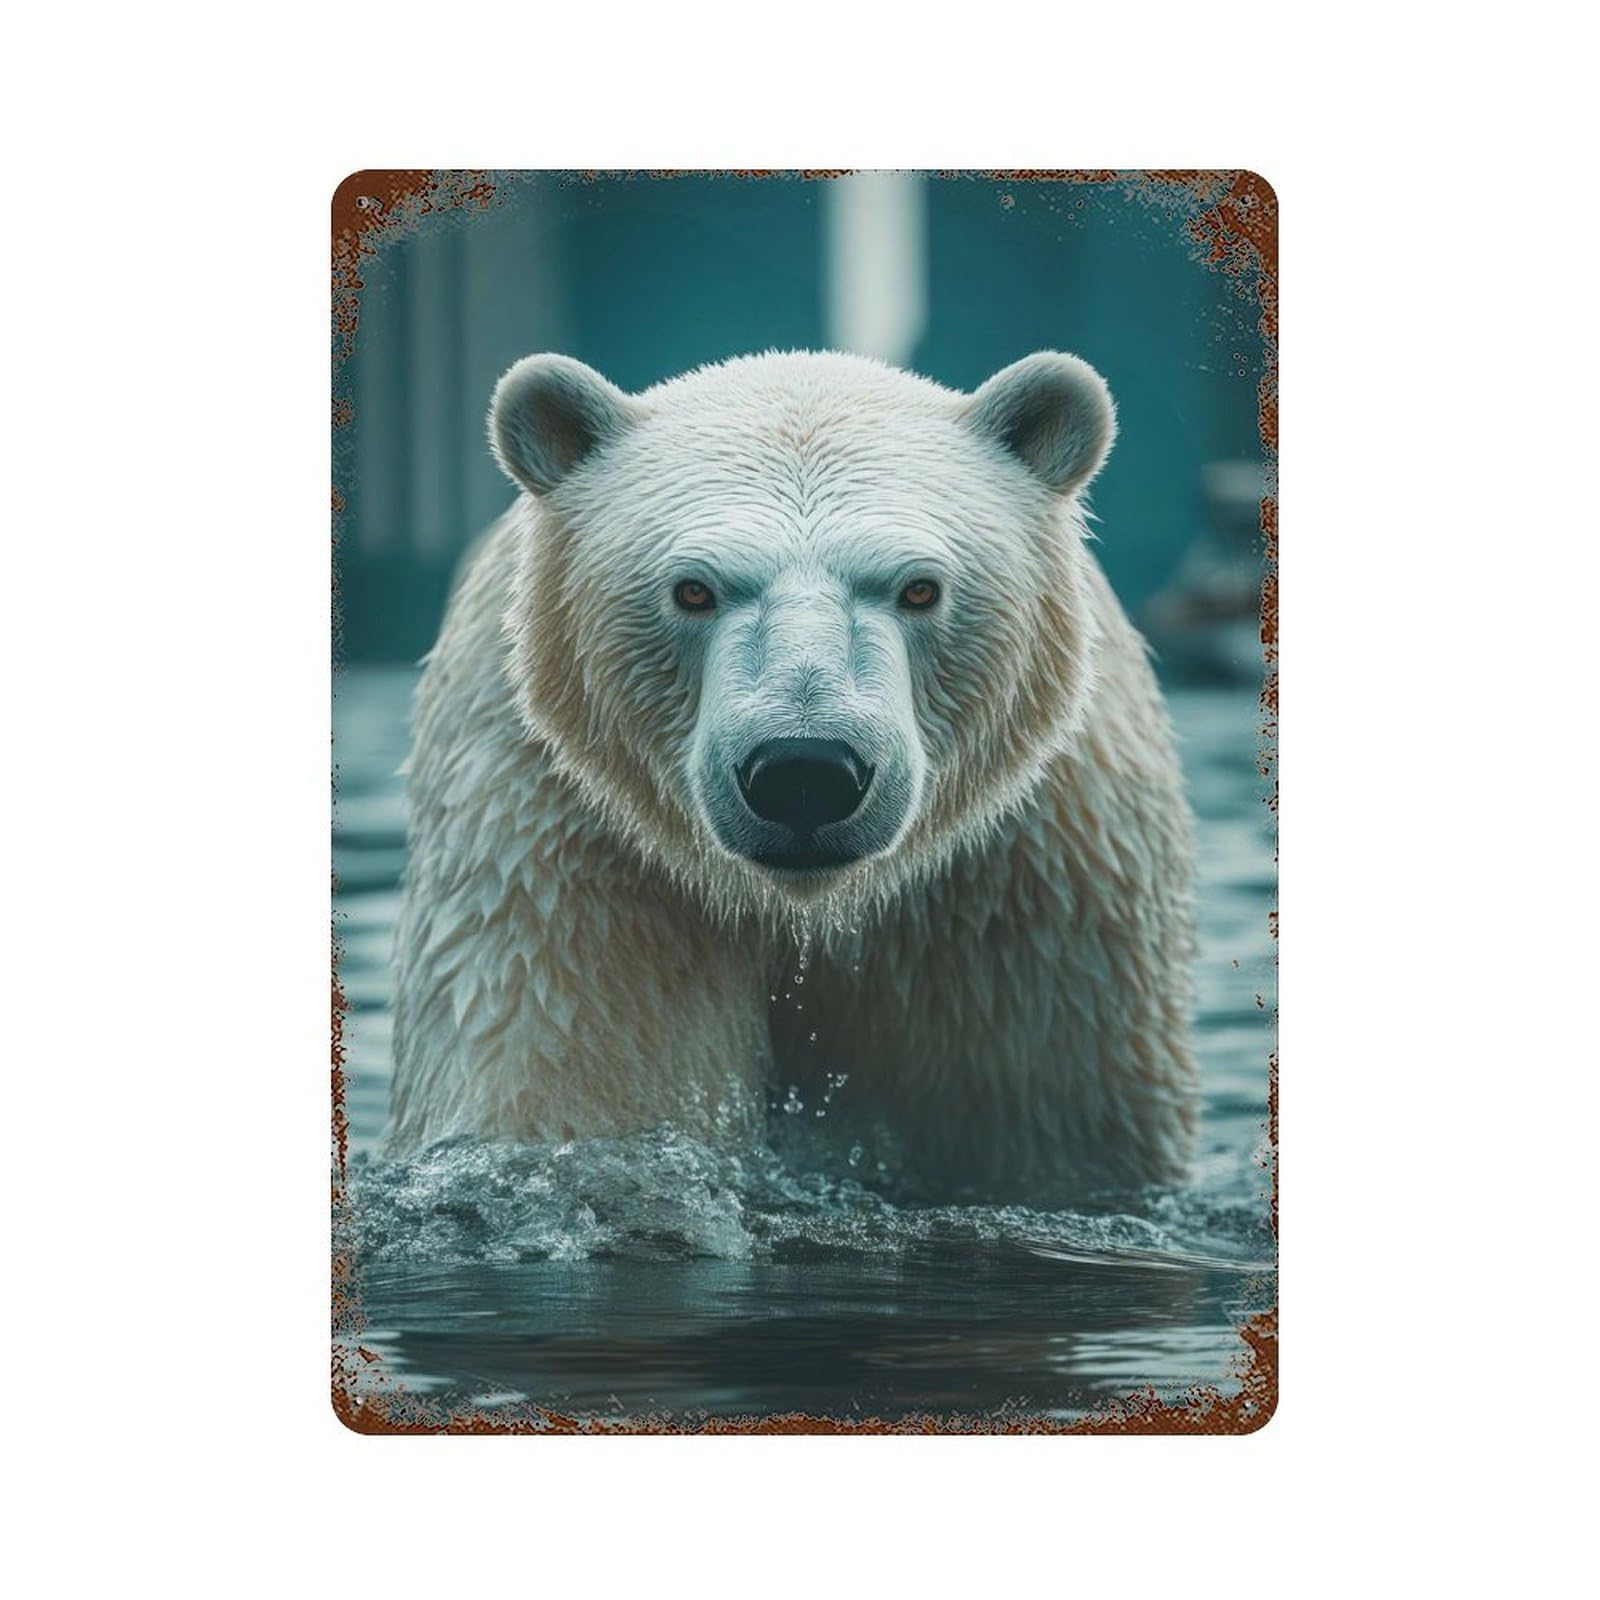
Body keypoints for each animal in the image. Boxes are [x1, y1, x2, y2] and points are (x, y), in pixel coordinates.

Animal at [383, 349, 1197, 1201]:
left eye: (920, 587)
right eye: (693, 589)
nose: (805, 771)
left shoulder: (1025, 884)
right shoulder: (566, 845)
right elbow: (570, 1079)